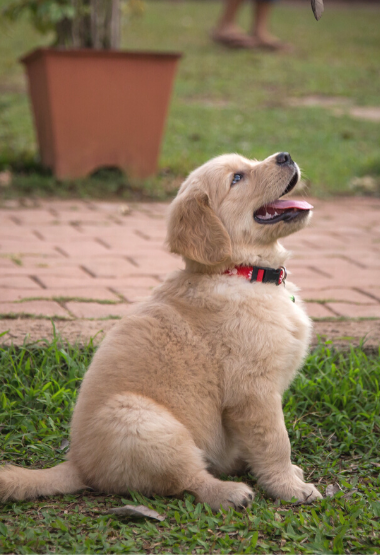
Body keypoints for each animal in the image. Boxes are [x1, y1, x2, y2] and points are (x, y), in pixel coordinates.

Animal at [0, 153, 320, 512]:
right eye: (237, 178)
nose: (285, 156)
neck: (238, 271)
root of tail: (78, 465)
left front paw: (287, 477)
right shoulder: (254, 391)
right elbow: (276, 441)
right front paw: (290, 487)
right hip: (144, 422)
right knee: (189, 479)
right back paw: (229, 492)